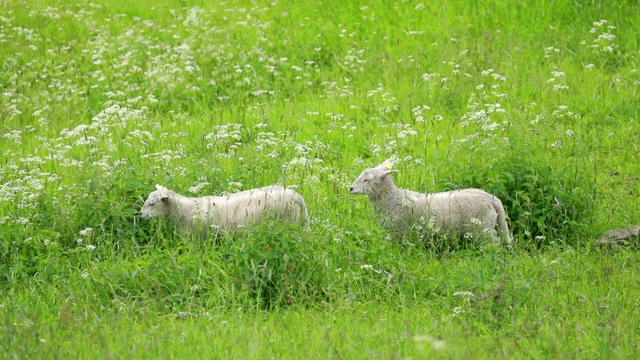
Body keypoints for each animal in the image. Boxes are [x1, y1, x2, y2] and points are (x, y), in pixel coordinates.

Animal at [348, 158, 512, 245]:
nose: (350, 188)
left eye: (367, 180)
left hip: (483, 228)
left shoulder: (403, 231)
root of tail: (492, 198)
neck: (393, 199)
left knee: (494, 244)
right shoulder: (393, 233)